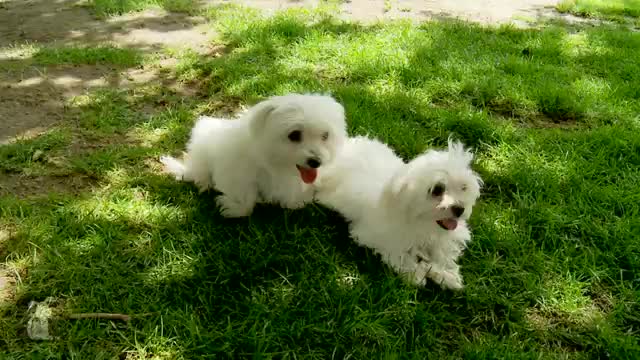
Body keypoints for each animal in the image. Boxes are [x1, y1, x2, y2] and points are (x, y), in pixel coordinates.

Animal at [162, 93, 348, 217]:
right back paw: (203, 181)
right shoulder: (236, 174)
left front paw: (298, 200)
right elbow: (246, 202)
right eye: (294, 135)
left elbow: (295, 200)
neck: (273, 163)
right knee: (199, 171)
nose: (316, 162)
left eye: (325, 136)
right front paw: (232, 208)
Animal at [316, 136, 480, 292]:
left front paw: (446, 273)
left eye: (463, 187)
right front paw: (415, 273)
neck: (422, 224)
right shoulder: (374, 234)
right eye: (437, 190)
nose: (460, 209)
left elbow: (443, 252)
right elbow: (397, 251)